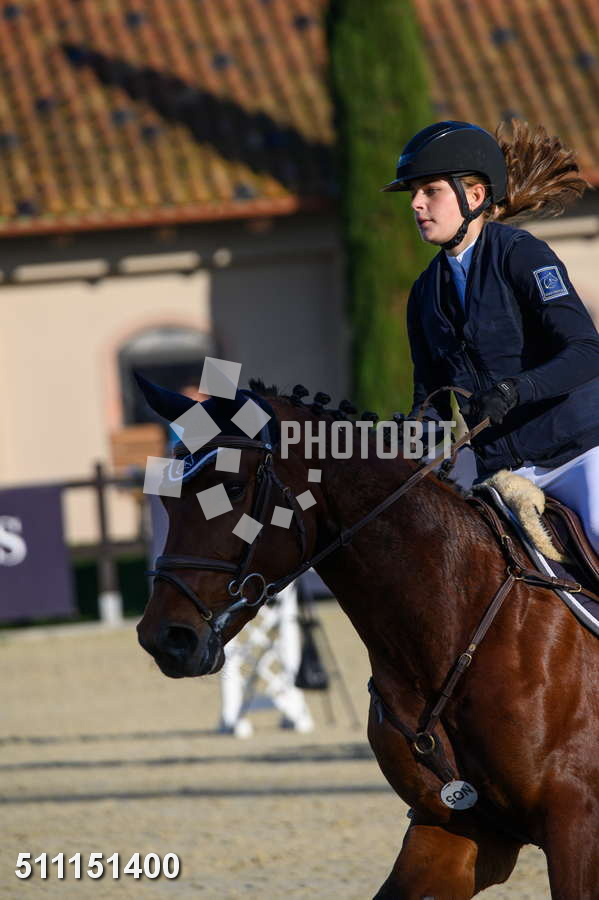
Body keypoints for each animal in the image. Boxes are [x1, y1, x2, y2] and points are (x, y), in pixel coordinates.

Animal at [136, 375, 599, 899]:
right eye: (167, 499)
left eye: (233, 488)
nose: (166, 638)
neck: (451, 624)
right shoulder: (458, 827)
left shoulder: (576, 825)